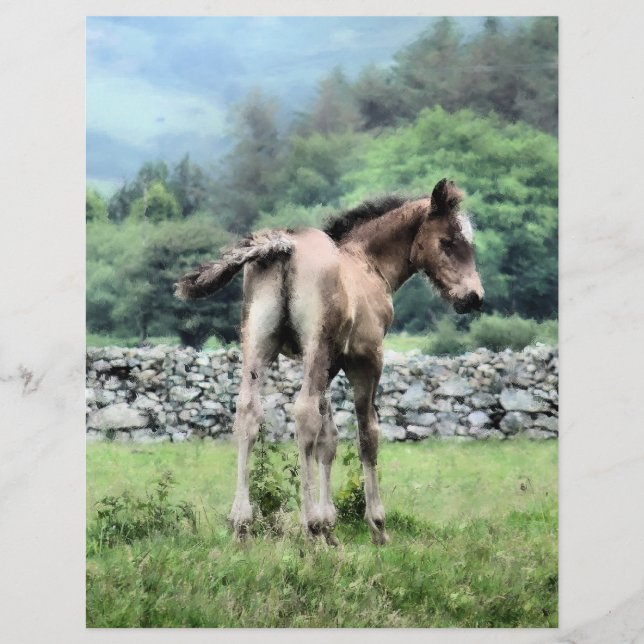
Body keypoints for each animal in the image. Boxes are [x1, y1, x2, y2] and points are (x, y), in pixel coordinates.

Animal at [176, 179, 484, 545]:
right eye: (448, 241)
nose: (474, 297)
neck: (368, 263)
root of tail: (284, 246)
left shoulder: (329, 363)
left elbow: (329, 438)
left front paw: (329, 528)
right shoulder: (365, 358)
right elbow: (367, 434)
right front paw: (375, 526)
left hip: (258, 342)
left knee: (249, 411)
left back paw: (242, 524)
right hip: (316, 344)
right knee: (304, 413)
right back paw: (307, 525)